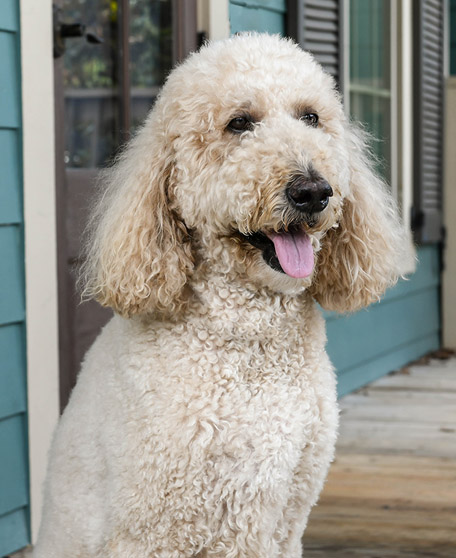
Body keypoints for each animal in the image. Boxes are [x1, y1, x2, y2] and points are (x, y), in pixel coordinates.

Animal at [34, 32, 406, 556]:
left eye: (311, 117)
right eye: (239, 123)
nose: (313, 191)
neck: (249, 340)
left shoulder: (287, 516)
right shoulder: (151, 531)